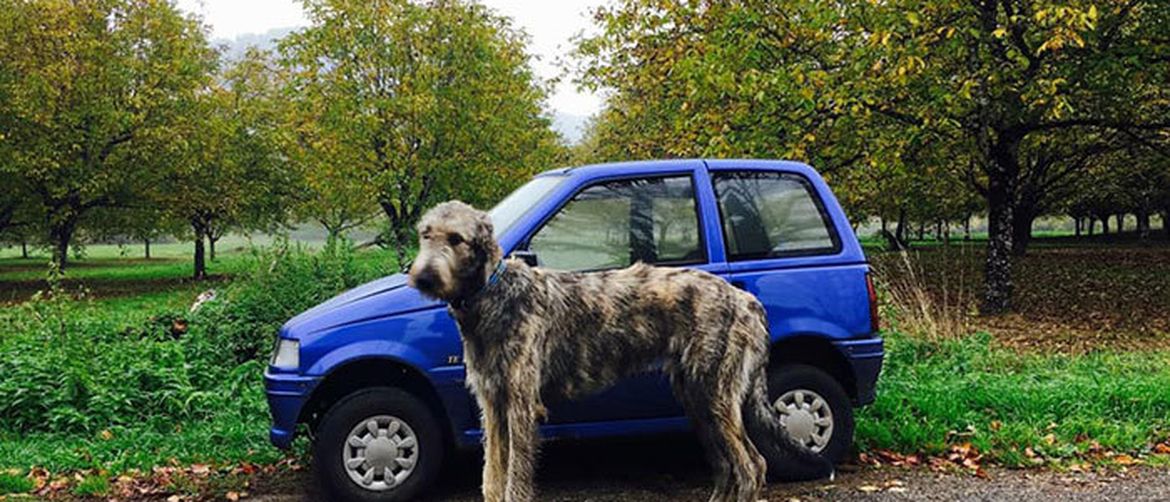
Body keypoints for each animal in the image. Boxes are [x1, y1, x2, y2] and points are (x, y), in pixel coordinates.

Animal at [411, 200, 833, 500]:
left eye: (456, 238)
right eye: (425, 234)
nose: (423, 277)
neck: (492, 292)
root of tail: (746, 301)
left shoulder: (521, 404)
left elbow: (515, 479)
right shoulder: (492, 404)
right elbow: (491, 478)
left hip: (716, 395)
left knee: (752, 466)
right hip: (697, 399)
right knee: (727, 467)